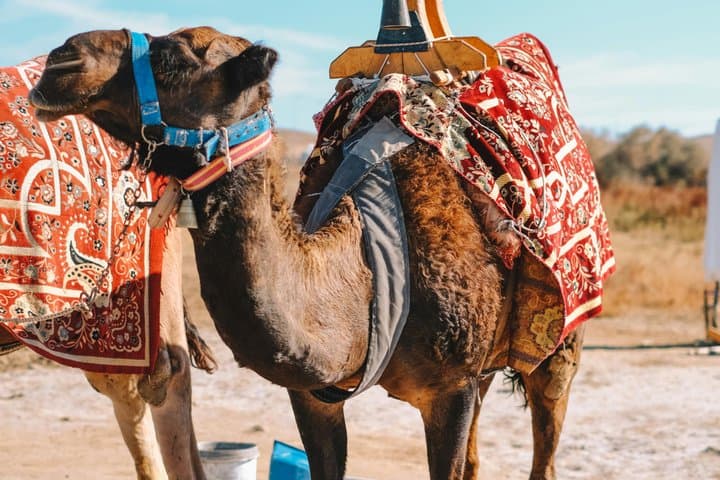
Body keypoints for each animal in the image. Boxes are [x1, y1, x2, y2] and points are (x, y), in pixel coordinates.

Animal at [30, 26, 587, 480]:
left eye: (174, 56)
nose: (59, 61)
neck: (372, 274)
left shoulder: (450, 389)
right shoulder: (313, 395)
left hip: (557, 343)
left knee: (547, 440)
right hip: (486, 368)